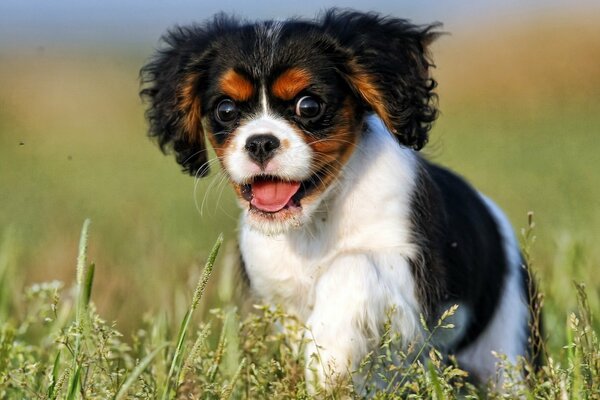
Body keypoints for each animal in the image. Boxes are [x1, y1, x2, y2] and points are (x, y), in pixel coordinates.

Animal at [141, 8, 536, 390]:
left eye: (309, 106)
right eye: (225, 110)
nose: (260, 142)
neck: (316, 219)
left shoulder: (419, 280)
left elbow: (352, 264)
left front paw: (329, 358)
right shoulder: (276, 293)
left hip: (508, 347)